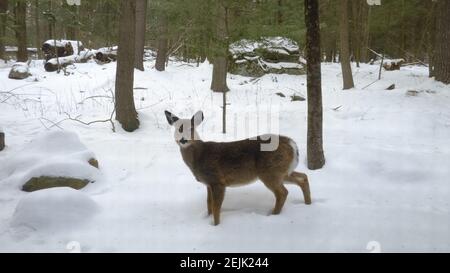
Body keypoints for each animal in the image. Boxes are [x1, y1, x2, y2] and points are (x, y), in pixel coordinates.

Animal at [165, 109, 312, 224]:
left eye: (191, 128)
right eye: (178, 128)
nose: (183, 140)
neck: (199, 156)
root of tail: (292, 144)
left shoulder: (217, 180)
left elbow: (216, 207)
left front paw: (215, 225)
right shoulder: (208, 183)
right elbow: (209, 205)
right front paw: (208, 218)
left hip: (270, 172)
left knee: (283, 192)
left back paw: (273, 215)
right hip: (283, 171)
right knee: (303, 177)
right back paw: (308, 204)